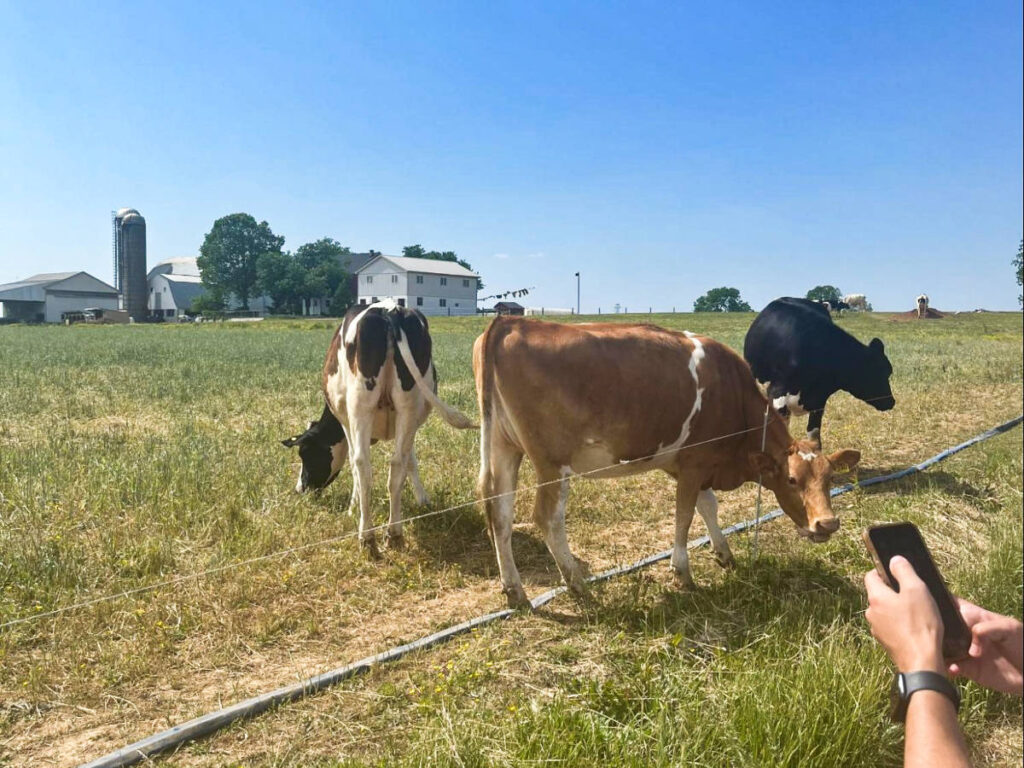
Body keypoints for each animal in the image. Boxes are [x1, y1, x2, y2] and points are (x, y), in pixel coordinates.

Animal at [285, 300, 475, 557]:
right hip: (407, 404)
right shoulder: (411, 424)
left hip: (360, 406)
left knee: (362, 464)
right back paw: (394, 533)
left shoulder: (346, 423)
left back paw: (366, 536)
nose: (300, 489)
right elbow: (410, 461)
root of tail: (389, 311)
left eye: (305, 453)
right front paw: (423, 501)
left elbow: (354, 465)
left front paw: (353, 506)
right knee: (397, 464)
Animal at [473, 316, 861, 609]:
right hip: (552, 463)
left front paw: (724, 554)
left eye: (830, 478)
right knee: (547, 518)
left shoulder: (692, 465)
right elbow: (685, 515)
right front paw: (683, 572)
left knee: (500, 514)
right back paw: (578, 584)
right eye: (792, 480)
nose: (827, 524)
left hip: (504, 447)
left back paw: (515, 591)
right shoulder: (694, 462)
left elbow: (709, 507)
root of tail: (512, 322)